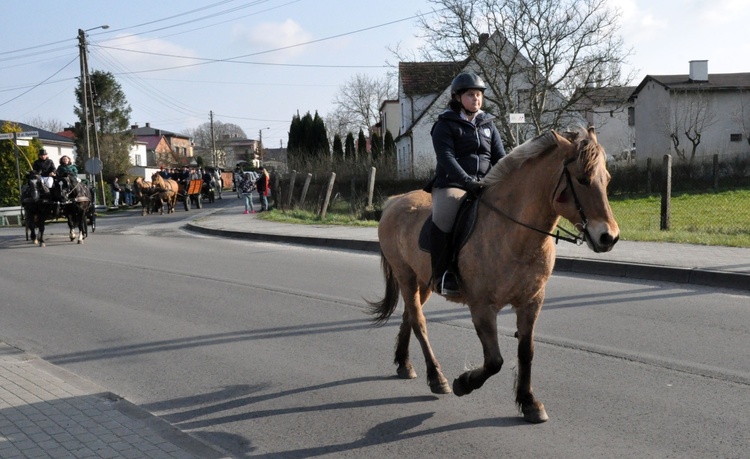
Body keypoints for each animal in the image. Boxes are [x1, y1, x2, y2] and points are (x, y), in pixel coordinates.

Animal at [370, 128, 624, 424]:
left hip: (424, 282)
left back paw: (404, 364)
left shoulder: (532, 302)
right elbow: (494, 361)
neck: (515, 234)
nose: (608, 237)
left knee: (409, 317)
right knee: (419, 322)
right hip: (406, 276)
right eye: (582, 179)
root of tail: (394, 201)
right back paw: (437, 377)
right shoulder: (482, 306)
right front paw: (464, 383)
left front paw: (529, 402)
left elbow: (526, 352)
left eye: (606, 179)